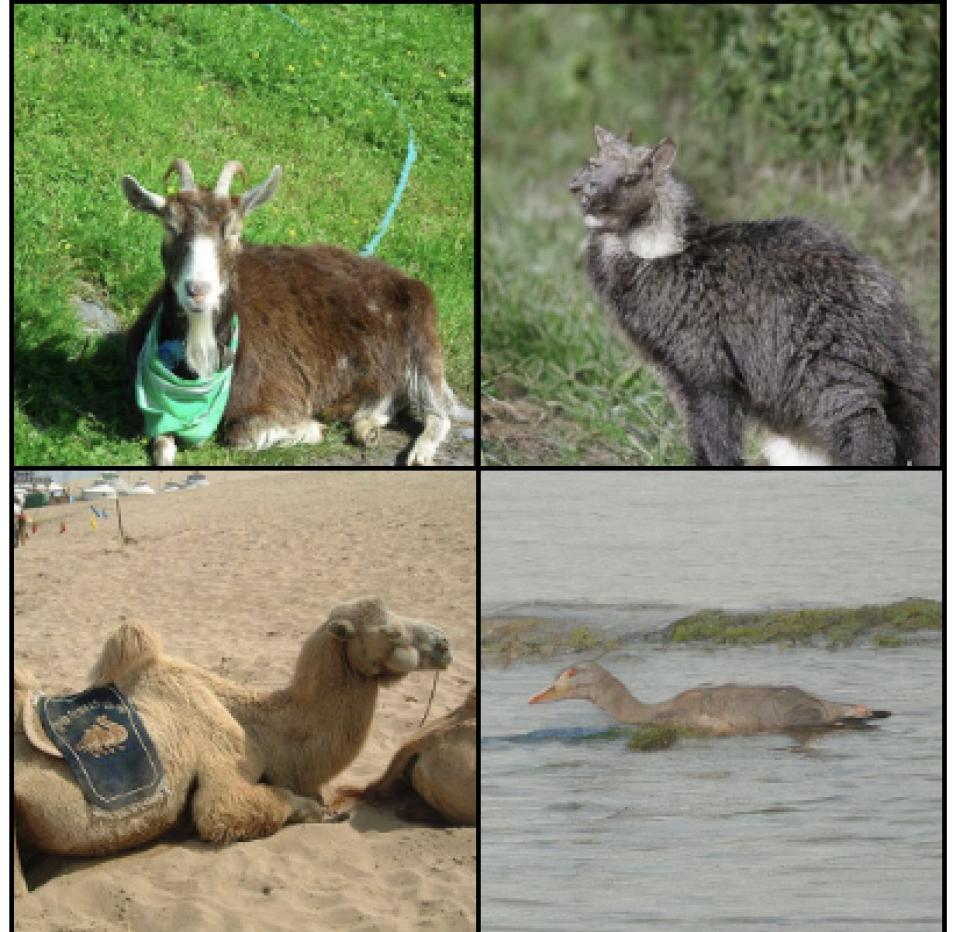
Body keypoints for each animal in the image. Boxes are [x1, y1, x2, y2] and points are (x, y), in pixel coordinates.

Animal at [12, 596, 454, 896]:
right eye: (391, 632)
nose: (444, 643)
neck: (257, 726)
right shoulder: (222, 772)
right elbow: (237, 807)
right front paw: (325, 813)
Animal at [122, 162, 464, 466]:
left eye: (233, 231)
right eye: (170, 228)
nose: (197, 290)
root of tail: (404, 279)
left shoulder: (280, 394)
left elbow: (241, 436)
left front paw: (312, 428)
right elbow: (161, 446)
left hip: (421, 344)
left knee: (440, 412)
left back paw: (419, 453)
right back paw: (365, 427)